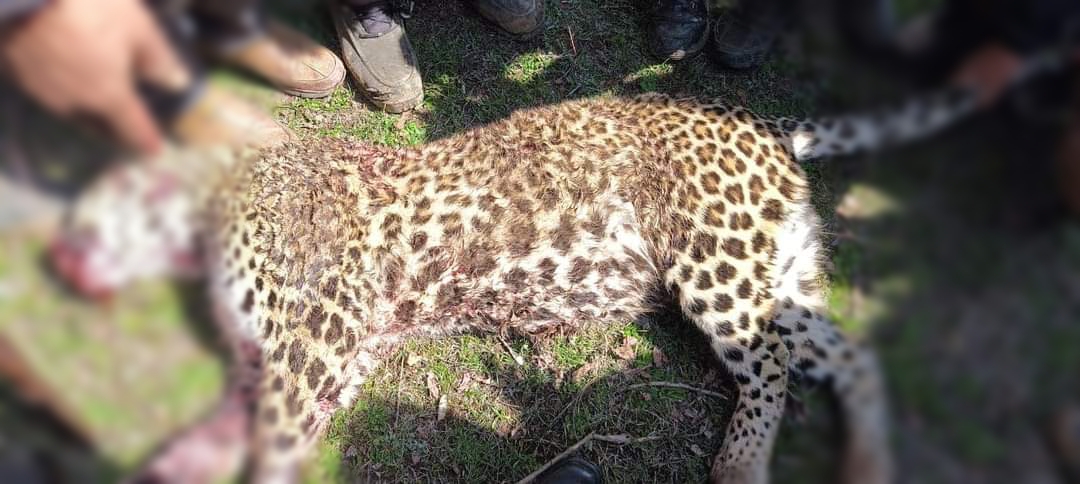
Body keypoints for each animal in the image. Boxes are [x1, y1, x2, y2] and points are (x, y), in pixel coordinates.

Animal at [50, 86, 980, 484]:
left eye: (94, 207)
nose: (57, 256)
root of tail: (766, 122)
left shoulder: (322, 337)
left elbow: (271, 438)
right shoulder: (334, 350)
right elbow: (234, 418)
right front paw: (180, 458)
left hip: (715, 265)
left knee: (771, 370)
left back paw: (741, 465)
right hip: (776, 269)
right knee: (854, 357)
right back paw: (868, 463)